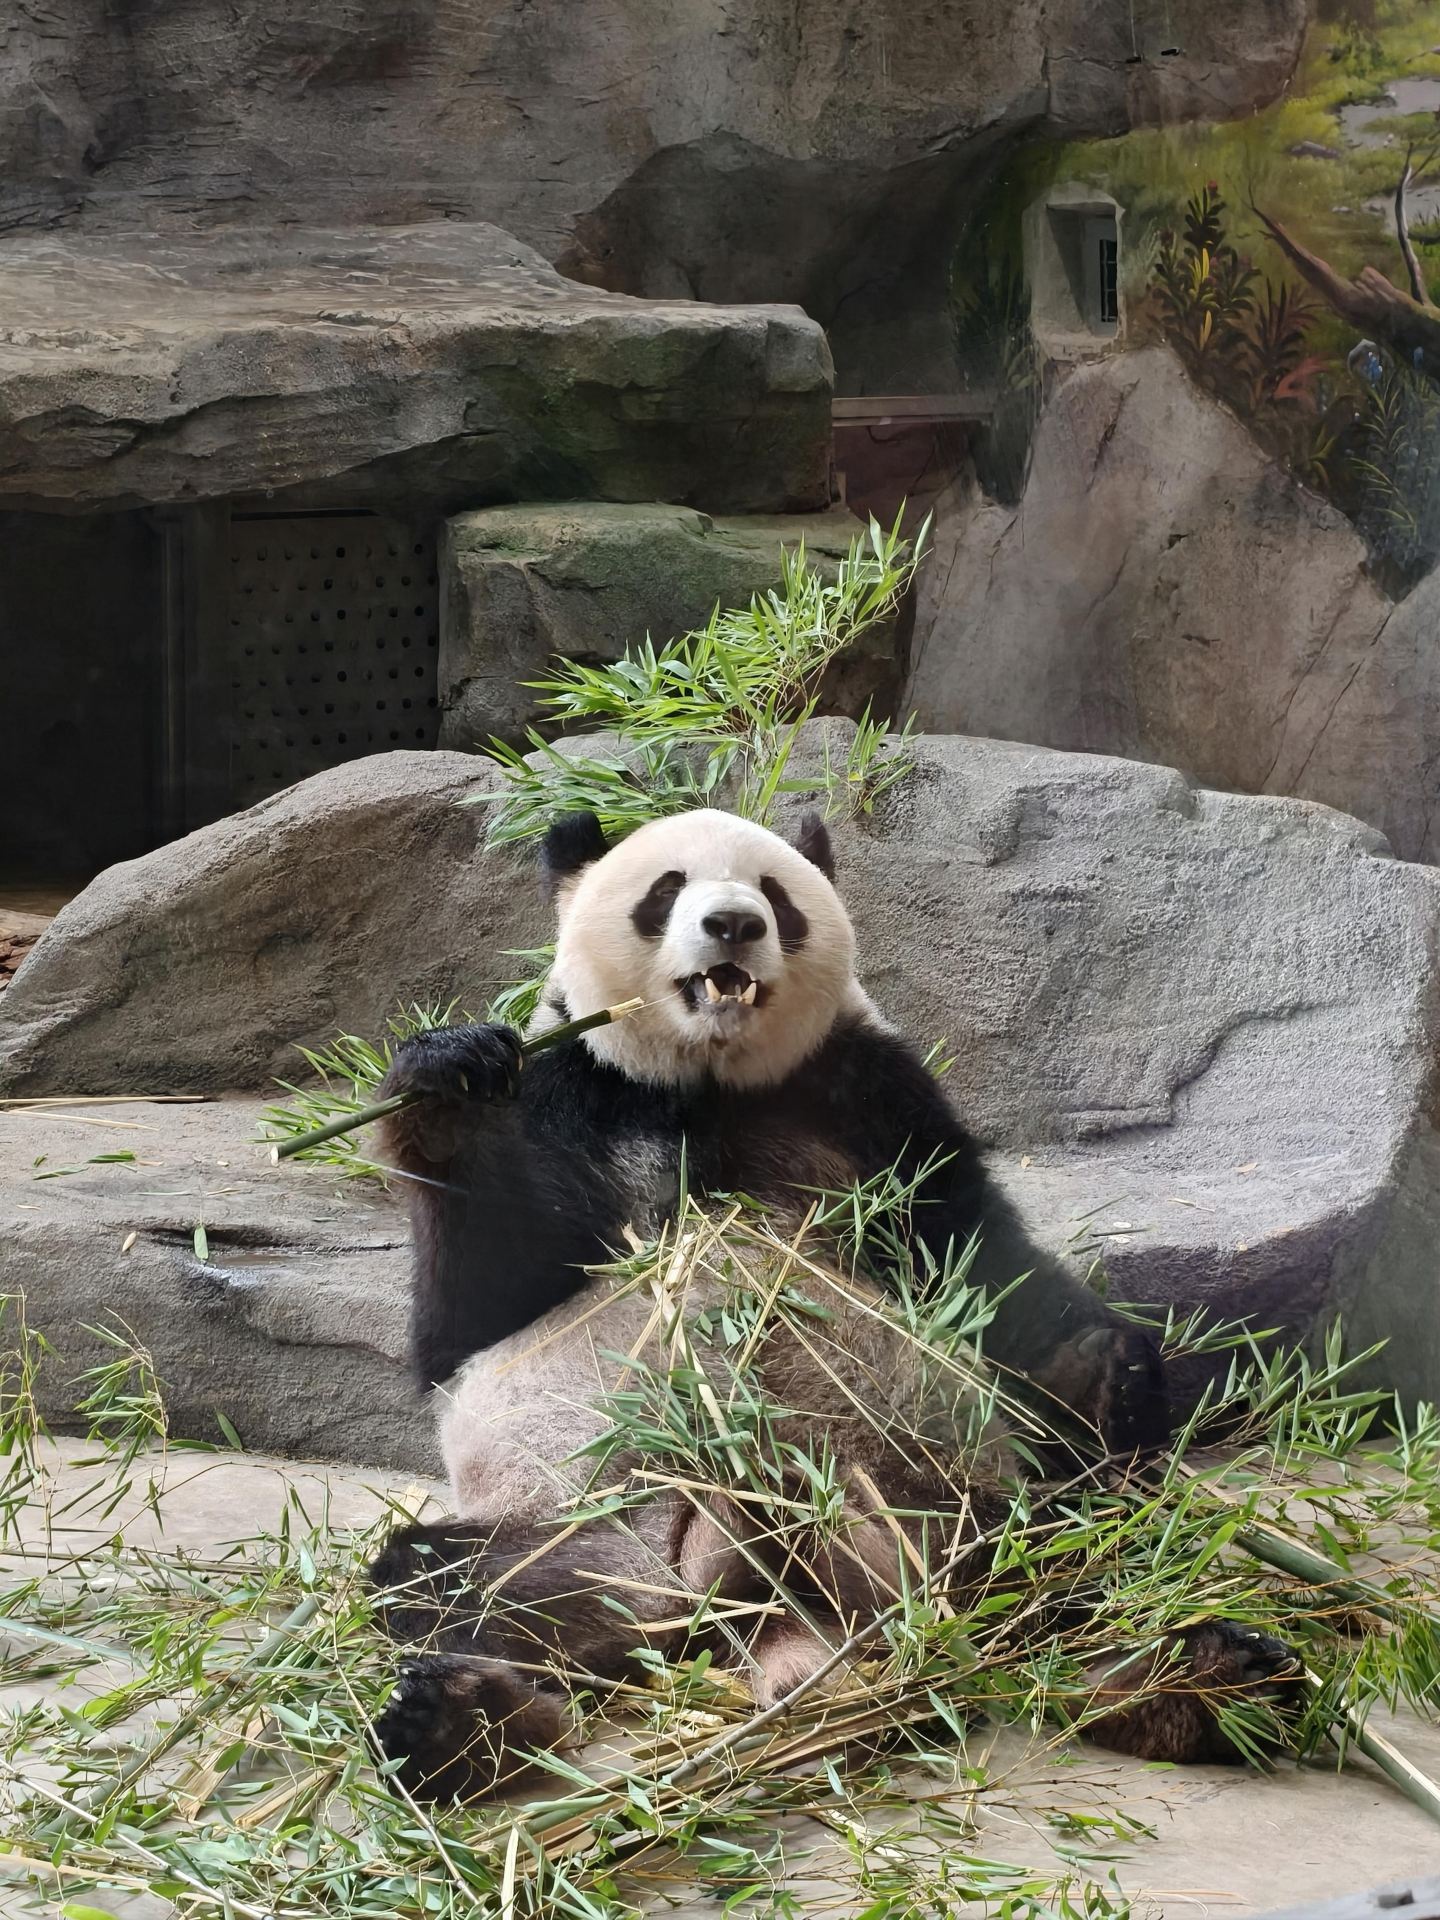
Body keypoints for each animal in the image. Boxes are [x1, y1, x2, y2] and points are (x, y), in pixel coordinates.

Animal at [366, 807, 1296, 1799]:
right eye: (667, 888)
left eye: (774, 895)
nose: (733, 924)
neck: (710, 1084)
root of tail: (759, 1600)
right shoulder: (573, 1094)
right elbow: (473, 1314)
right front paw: (447, 1077)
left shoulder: (869, 1096)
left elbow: (977, 1255)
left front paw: (1106, 1372)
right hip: (587, 1526)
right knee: (442, 1583)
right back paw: (466, 1724)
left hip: (958, 1502)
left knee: (1082, 1557)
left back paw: (1191, 1679)